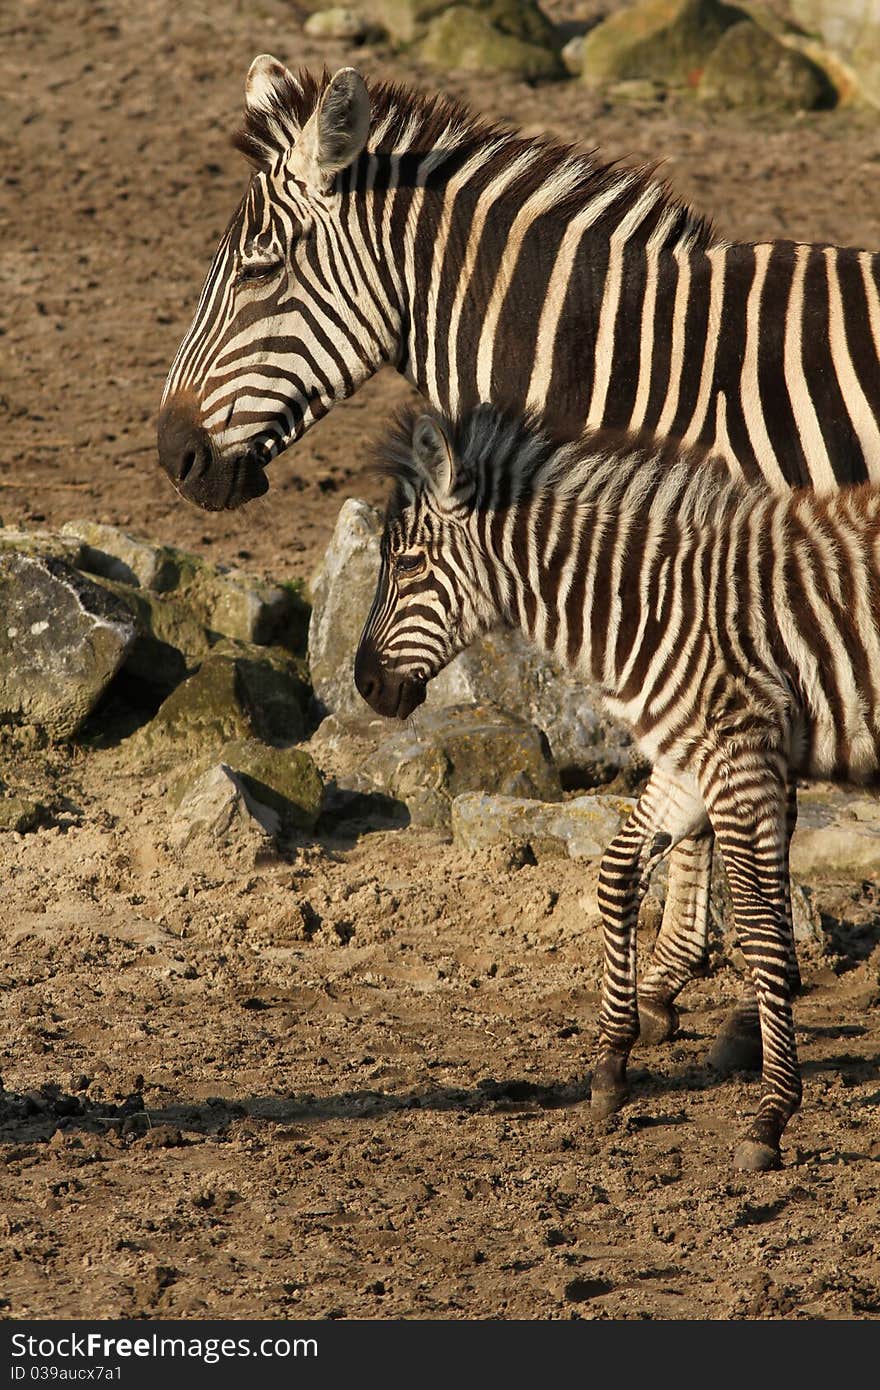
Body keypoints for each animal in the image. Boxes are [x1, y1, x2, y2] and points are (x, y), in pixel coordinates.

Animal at [157, 56, 878, 1061]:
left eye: (260, 270)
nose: (172, 456)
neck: (657, 373)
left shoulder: (740, 590)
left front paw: (696, 983)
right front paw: (682, 977)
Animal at [353, 405, 878, 1167]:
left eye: (409, 563)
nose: (364, 684)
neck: (655, 603)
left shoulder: (740, 758)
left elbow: (760, 930)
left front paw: (772, 1117)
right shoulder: (692, 758)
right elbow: (617, 871)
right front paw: (610, 1067)